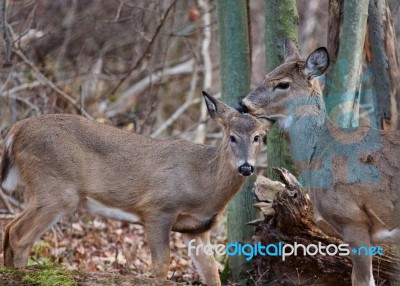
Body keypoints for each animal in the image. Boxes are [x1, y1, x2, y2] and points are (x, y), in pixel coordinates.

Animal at [0, 92, 270, 284]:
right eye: (232, 137)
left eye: (258, 137)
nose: (246, 167)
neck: (203, 183)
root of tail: (15, 130)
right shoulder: (158, 209)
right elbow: (161, 266)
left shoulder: (197, 229)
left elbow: (211, 272)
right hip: (56, 188)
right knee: (20, 235)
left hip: (44, 190)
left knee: (10, 227)